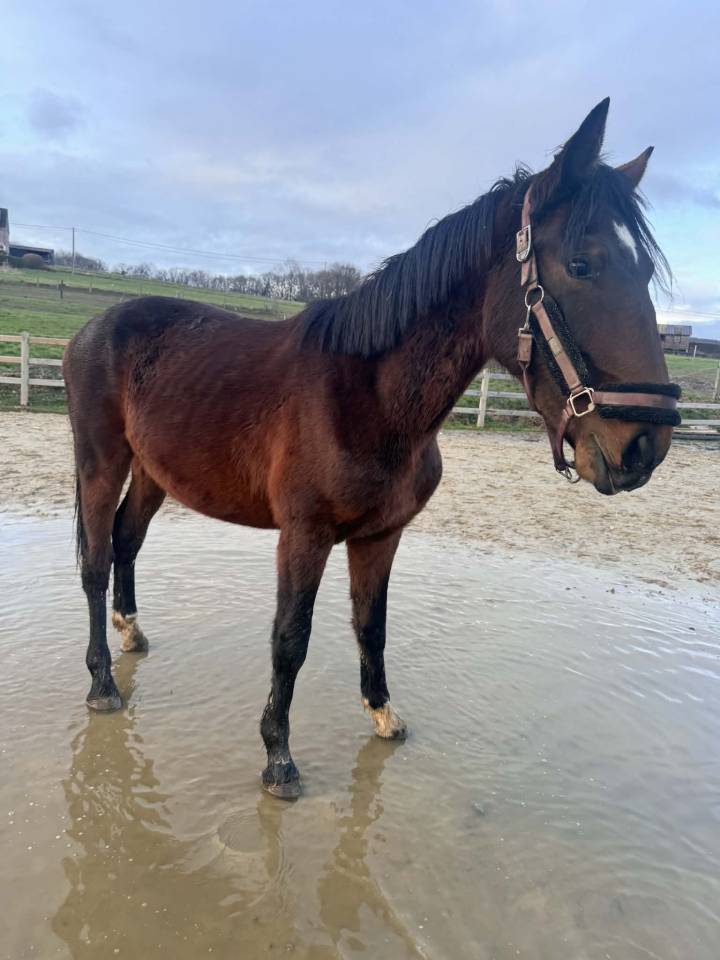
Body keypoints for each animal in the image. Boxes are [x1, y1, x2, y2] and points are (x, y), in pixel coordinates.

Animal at [63, 98, 680, 798]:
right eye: (582, 264)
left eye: (644, 270)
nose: (645, 445)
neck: (371, 397)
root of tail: (92, 329)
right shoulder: (302, 535)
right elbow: (290, 639)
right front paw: (278, 757)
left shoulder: (381, 535)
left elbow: (372, 624)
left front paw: (383, 715)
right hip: (101, 463)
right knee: (94, 560)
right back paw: (102, 683)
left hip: (154, 472)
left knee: (126, 540)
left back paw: (132, 633)